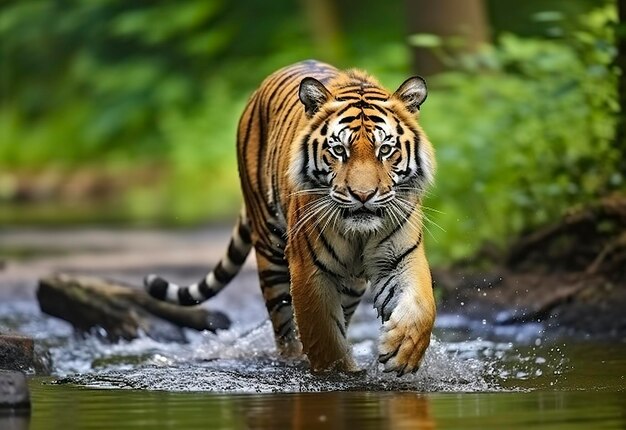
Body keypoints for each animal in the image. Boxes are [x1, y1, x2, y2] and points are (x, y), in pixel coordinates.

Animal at [145, 58, 434, 374]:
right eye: (338, 150)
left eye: (385, 149)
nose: (363, 195)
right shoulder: (310, 269)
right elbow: (323, 335)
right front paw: (339, 370)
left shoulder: (401, 256)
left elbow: (422, 307)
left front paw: (403, 351)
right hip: (271, 253)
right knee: (285, 328)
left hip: (350, 284)